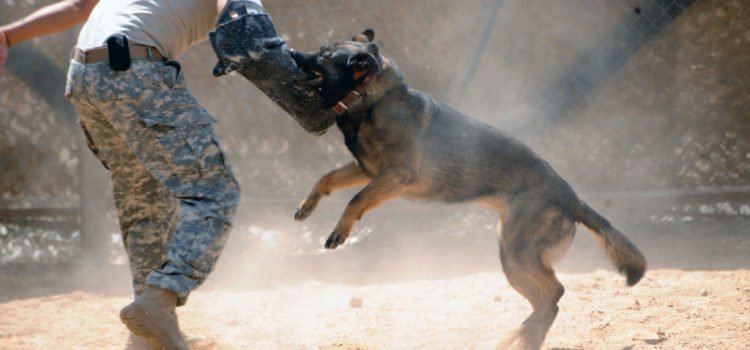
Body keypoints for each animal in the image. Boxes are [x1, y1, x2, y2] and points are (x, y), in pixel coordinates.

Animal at [290, 30, 648, 350]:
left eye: (322, 56)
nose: (291, 51)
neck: (372, 99)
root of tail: (571, 198)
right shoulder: (366, 171)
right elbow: (327, 178)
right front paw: (307, 206)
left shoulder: (395, 176)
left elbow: (356, 198)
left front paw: (339, 231)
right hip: (511, 259)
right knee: (547, 300)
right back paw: (523, 337)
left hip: (519, 252)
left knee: (554, 293)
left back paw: (519, 335)